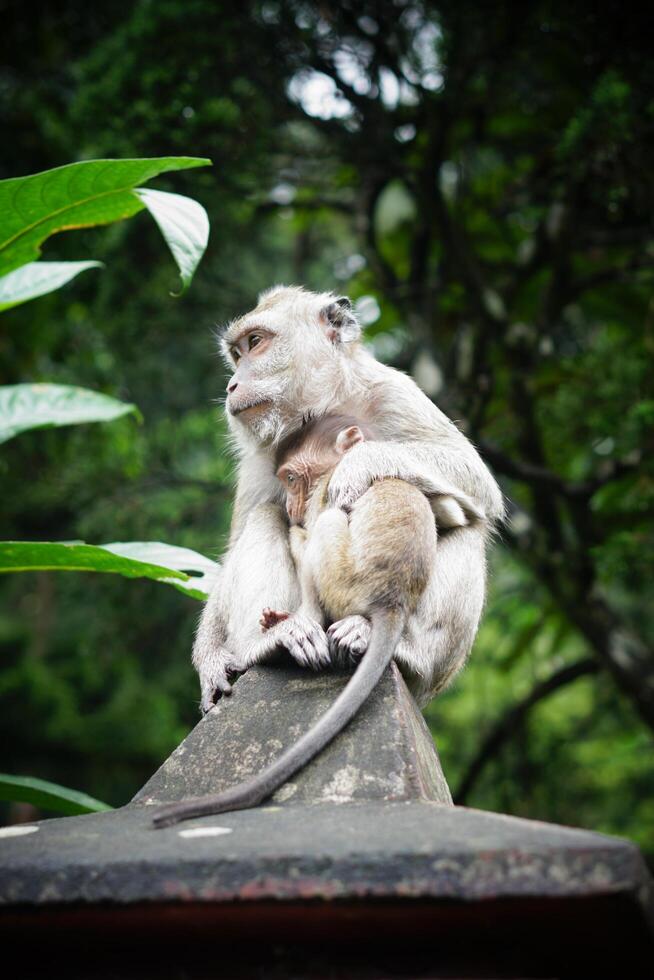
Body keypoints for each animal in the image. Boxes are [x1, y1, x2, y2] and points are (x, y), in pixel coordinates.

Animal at [154, 414, 438, 828]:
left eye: (291, 478)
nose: (290, 502)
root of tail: (393, 600)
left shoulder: (328, 488)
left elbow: (310, 526)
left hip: (344, 577)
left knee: (321, 527)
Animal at [192, 284, 504, 712]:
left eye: (255, 342)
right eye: (236, 355)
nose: (232, 386)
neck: (324, 404)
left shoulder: (393, 392)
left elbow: (475, 479)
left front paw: (358, 464)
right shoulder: (259, 454)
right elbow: (237, 544)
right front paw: (210, 660)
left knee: (469, 525)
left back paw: (403, 649)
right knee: (265, 516)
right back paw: (268, 643)